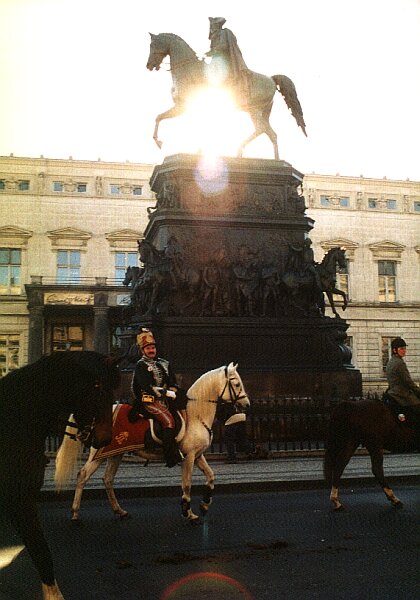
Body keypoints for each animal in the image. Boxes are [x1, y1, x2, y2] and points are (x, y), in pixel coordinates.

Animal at [70, 364, 251, 524]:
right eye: (236, 383)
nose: (247, 404)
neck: (195, 414)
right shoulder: (189, 457)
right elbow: (187, 485)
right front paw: (189, 513)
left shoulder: (198, 455)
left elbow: (211, 476)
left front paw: (205, 504)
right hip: (98, 453)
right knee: (83, 475)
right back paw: (75, 514)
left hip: (115, 453)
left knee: (107, 479)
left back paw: (120, 511)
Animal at [146, 32, 306, 159]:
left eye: (153, 45)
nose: (148, 65)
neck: (189, 71)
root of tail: (271, 79)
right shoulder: (187, 108)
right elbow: (160, 117)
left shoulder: (183, 107)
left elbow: (161, 118)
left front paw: (159, 142)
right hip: (264, 112)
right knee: (271, 133)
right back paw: (276, 160)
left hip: (254, 110)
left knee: (260, 129)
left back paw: (239, 151)